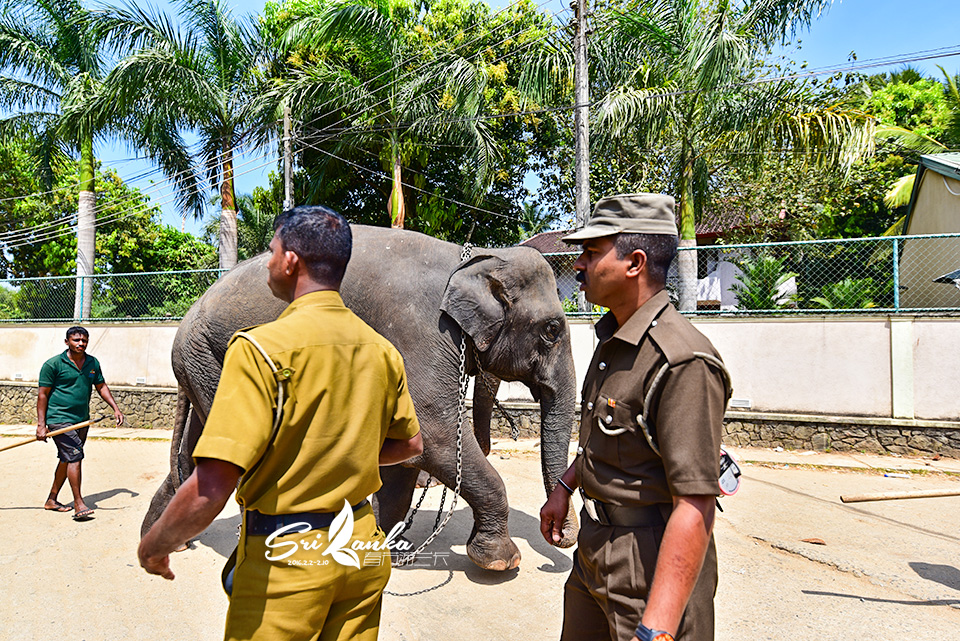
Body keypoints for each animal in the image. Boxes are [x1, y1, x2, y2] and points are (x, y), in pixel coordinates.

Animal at [142, 225, 576, 568]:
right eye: (552, 330)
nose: (560, 535)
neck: (471, 258)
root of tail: (187, 319)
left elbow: (410, 445)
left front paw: (390, 549)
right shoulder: (420, 330)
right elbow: (433, 432)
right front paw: (501, 561)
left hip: (205, 362)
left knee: (201, 456)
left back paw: (165, 545)